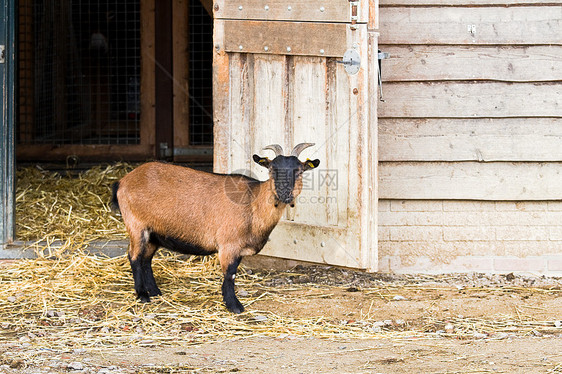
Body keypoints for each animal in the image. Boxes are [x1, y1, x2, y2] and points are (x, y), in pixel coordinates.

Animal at [111, 143, 320, 312]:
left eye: (299, 171)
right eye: (272, 169)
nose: (284, 194)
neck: (253, 203)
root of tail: (122, 182)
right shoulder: (229, 245)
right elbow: (230, 275)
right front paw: (234, 306)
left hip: (154, 232)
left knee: (146, 259)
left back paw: (155, 291)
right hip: (136, 225)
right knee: (134, 257)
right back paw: (142, 295)